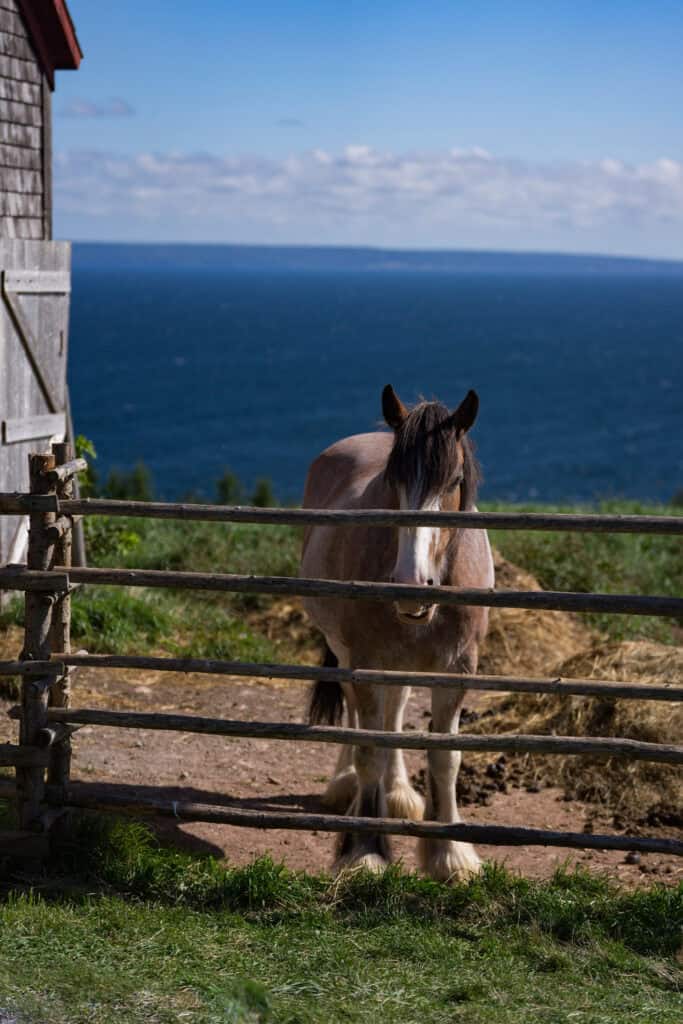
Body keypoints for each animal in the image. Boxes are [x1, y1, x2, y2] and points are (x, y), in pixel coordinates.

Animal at [300, 384, 494, 881]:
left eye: (454, 480)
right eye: (393, 480)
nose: (411, 584)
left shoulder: (457, 670)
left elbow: (445, 758)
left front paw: (451, 855)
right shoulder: (365, 662)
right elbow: (370, 748)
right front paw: (366, 850)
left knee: (396, 711)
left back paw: (399, 792)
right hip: (345, 652)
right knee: (359, 718)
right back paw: (346, 786)